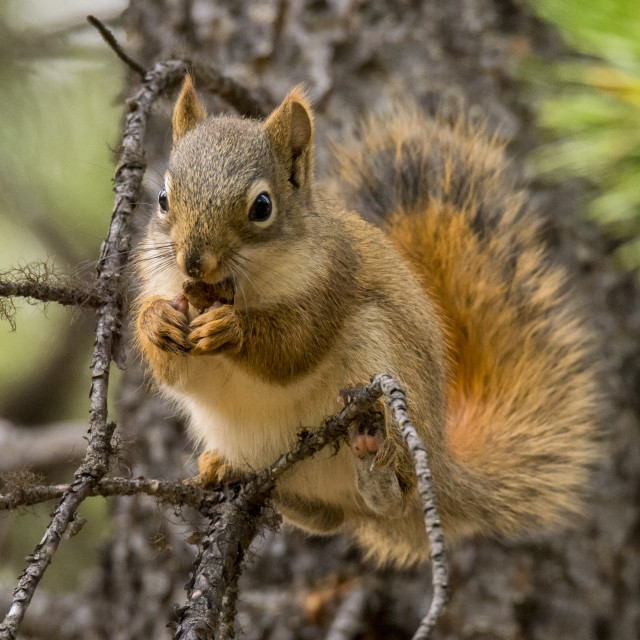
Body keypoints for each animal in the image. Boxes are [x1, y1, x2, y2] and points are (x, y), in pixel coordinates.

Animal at [134, 77, 600, 568]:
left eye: (262, 206)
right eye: (163, 198)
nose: (193, 262)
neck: (241, 289)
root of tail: (442, 462)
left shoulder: (331, 284)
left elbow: (295, 348)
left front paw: (231, 330)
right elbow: (176, 372)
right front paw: (156, 322)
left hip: (385, 374)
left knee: (397, 495)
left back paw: (378, 474)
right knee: (327, 518)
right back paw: (228, 468)